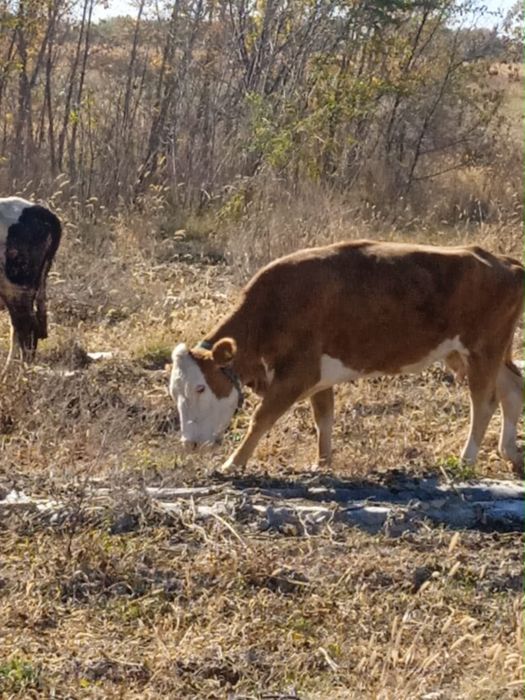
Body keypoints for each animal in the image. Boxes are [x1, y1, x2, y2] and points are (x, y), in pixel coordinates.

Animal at [169, 240, 524, 477]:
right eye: (175, 393)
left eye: (201, 387)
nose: (190, 444)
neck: (273, 308)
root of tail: (505, 262)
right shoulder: (320, 376)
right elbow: (323, 418)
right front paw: (322, 464)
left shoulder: (298, 374)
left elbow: (262, 418)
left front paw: (233, 463)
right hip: (480, 353)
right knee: (512, 388)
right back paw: (509, 452)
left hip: (482, 350)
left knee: (484, 402)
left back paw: (466, 459)